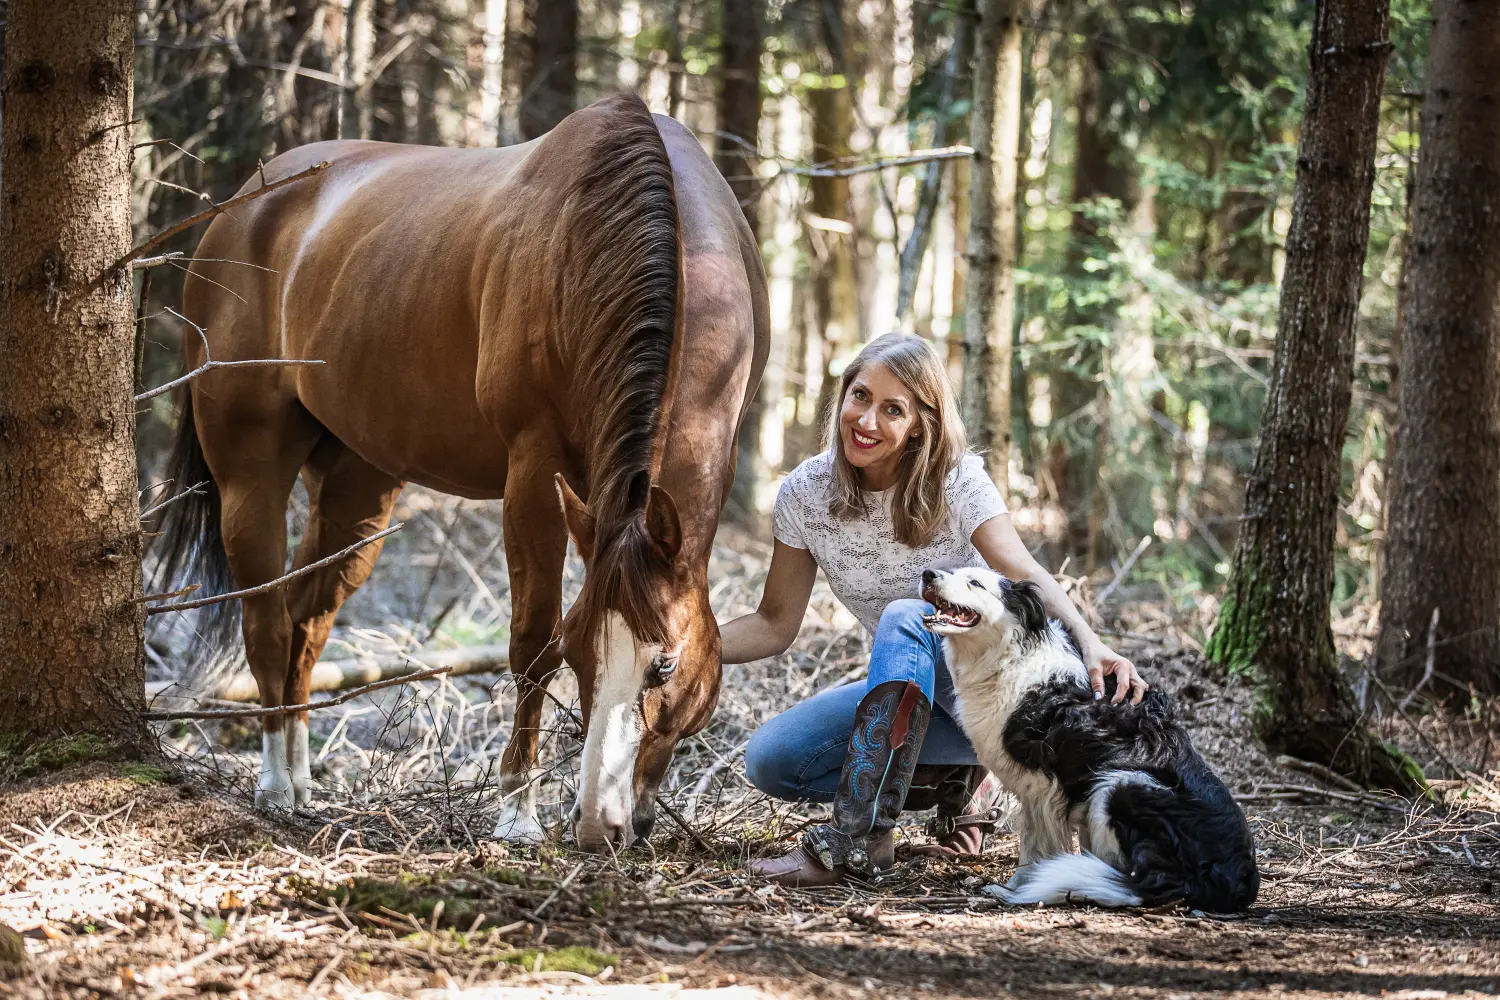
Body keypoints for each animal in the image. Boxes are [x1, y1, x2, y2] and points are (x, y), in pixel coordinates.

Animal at [156, 93, 768, 851]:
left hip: (359, 486)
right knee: (266, 616)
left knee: (308, 615)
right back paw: (272, 783)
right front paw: (518, 813)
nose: (598, 825)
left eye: (665, 665)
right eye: (579, 653)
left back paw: (301, 782)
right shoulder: (533, 472)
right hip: (250, 474)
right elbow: (530, 642)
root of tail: (242, 206)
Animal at [918, 566, 1260, 911]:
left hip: (1119, 785)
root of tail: (1233, 880)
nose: (928, 574)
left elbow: (1034, 846)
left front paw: (1016, 888)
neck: (1008, 656)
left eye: (975, 583)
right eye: (953, 572)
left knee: (1138, 882)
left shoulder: (1042, 788)